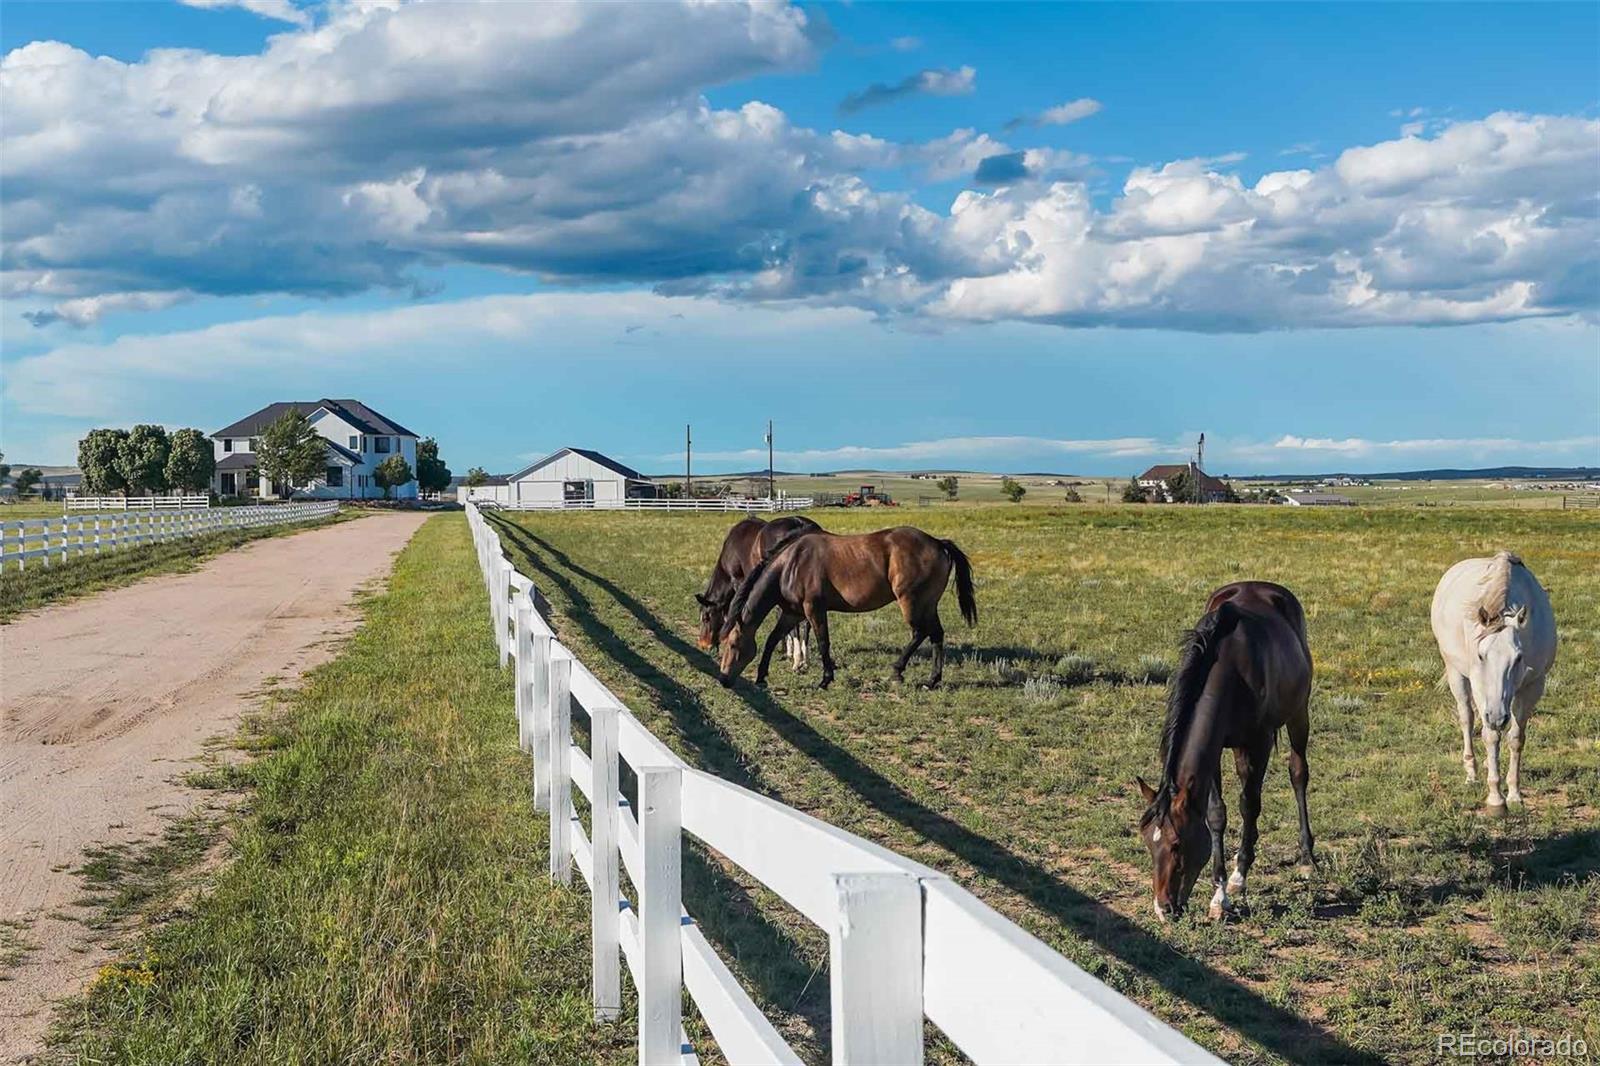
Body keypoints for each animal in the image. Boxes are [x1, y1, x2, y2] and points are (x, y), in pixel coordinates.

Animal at [700, 512, 825, 669]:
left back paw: (798, 660)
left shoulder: (739, 582)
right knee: (807, 622)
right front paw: (786, 649)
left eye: (706, 617)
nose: (703, 644)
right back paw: (804, 658)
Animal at [716, 524, 972, 688]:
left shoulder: (814, 609)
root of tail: (938, 543)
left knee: (920, 632)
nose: (723, 680)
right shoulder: (792, 613)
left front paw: (825, 679)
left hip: (911, 601)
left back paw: (897, 671)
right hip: (928, 604)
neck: (791, 565)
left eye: (733, 645)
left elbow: (823, 642)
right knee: (936, 634)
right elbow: (771, 640)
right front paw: (762, 677)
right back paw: (932, 680)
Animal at [1139, 576, 1312, 915]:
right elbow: (1216, 813)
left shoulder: (1259, 740)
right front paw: (1219, 896)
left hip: (1298, 714)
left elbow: (1250, 804)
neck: (1231, 666)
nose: (1163, 908)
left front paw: (1238, 878)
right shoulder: (1216, 749)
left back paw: (1307, 858)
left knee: (1298, 773)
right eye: (1149, 844)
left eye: (1176, 844)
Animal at [1433, 547, 1555, 806]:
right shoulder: (1481, 689)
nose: (1498, 717)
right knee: (1467, 718)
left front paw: (1515, 793)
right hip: (1456, 673)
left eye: (1518, 658)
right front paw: (1495, 797)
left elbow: (1516, 738)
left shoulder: (1533, 686)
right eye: (1481, 655)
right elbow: (1490, 736)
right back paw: (1471, 772)